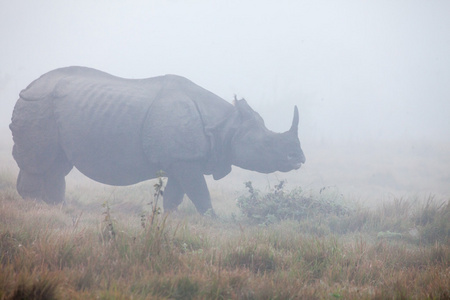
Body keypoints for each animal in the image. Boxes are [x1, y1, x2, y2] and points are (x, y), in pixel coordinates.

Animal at [9, 67, 306, 214]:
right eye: (268, 144)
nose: (300, 159)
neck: (225, 126)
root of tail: (27, 87)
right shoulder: (184, 159)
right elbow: (200, 193)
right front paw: (212, 218)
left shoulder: (182, 160)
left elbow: (176, 195)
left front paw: (168, 219)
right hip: (38, 105)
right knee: (40, 163)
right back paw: (35, 210)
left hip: (55, 110)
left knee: (57, 165)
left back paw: (58, 208)